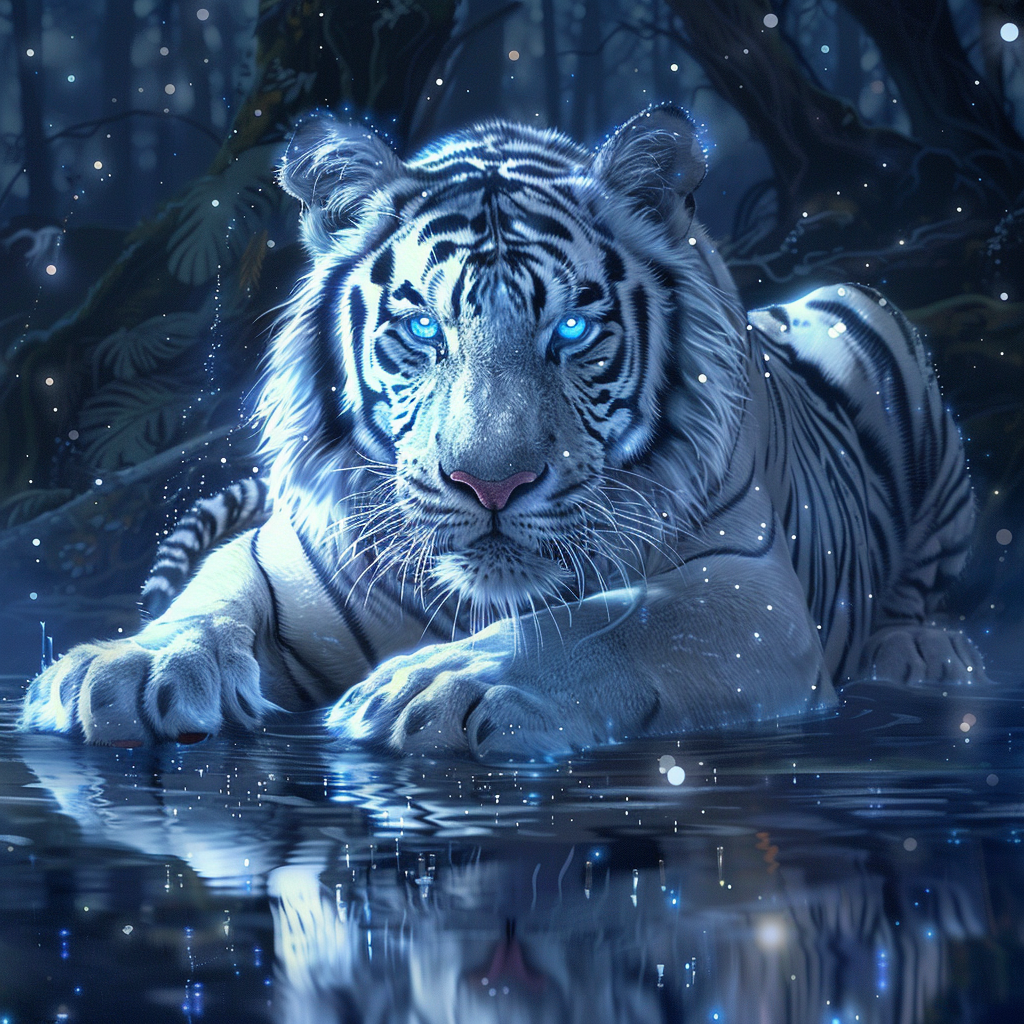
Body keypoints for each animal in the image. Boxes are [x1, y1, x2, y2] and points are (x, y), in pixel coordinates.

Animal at [20, 104, 985, 760]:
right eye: (422, 329)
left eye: (572, 331)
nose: (491, 485)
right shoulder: (283, 557)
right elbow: (209, 599)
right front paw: (129, 668)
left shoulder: (750, 593)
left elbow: (610, 619)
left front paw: (446, 684)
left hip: (865, 319)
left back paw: (922, 653)